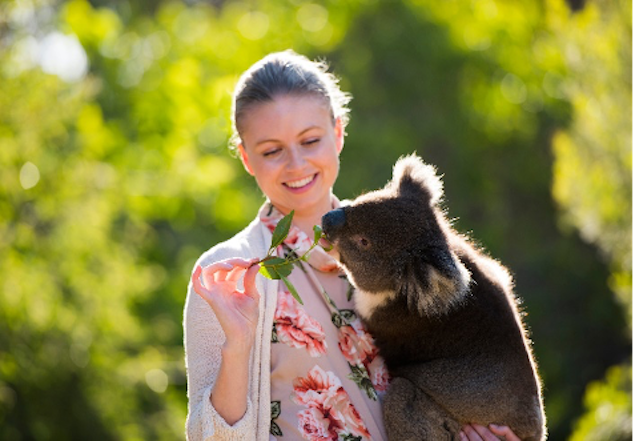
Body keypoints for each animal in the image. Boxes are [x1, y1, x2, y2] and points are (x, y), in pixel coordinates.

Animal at [322, 154, 546, 441]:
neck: (399, 288)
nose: (327, 220)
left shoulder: (387, 318)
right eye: (361, 202)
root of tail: (533, 433)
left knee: (400, 398)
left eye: (363, 242)